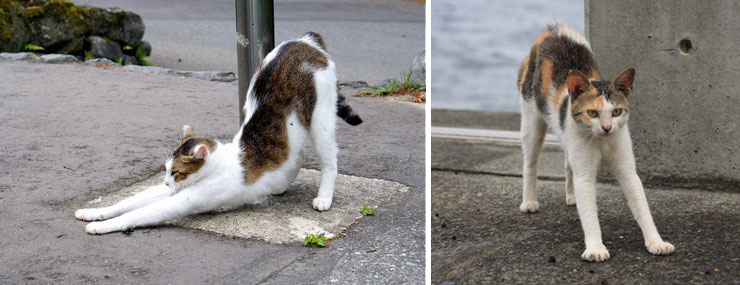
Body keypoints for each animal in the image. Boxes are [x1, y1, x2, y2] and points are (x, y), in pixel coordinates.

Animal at [76, 32, 364, 234]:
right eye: (166, 170)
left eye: (176, 172)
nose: (167, 183)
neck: (218, 164)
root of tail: (305, 41)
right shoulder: (172, 192)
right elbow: (127, 202)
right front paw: (95, 212)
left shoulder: (183, 199)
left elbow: (137, 213)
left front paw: (100, 226)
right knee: (298, 153)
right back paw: (280, 184)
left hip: (320, 120)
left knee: (329, 161)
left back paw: (323, 198)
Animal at [516, 25, 672, 262]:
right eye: (592, 113)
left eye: (616, 112)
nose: (607, 127)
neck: (602, 142)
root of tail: (553, 30)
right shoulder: (585, 174)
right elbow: (589, 211)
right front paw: (595, 248)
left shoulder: (627, 170)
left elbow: (641, 205)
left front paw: (656, 242)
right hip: (531, 121)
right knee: (530, 162)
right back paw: (530, 201)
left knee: (568, 163)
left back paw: (571, 197)